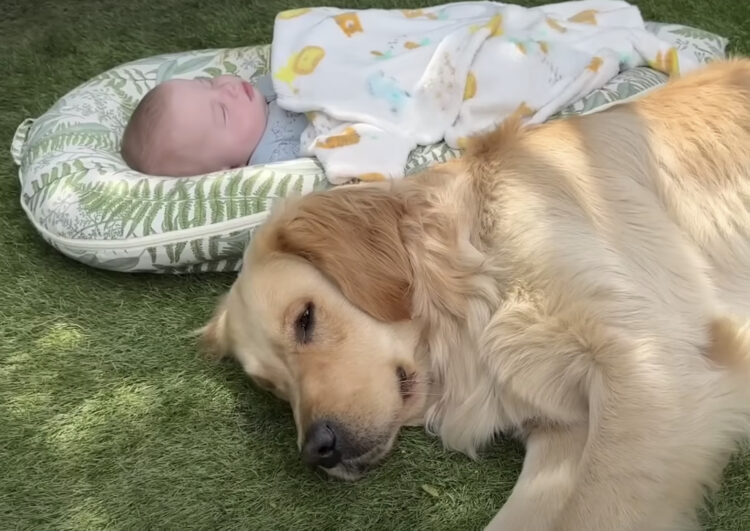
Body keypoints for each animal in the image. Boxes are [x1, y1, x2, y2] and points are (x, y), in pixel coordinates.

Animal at [201, 59, 750, 530]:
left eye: (306, 319)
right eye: (271, 388)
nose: (318, 449)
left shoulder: (653, 367)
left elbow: (594, 512)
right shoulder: (563, 432)